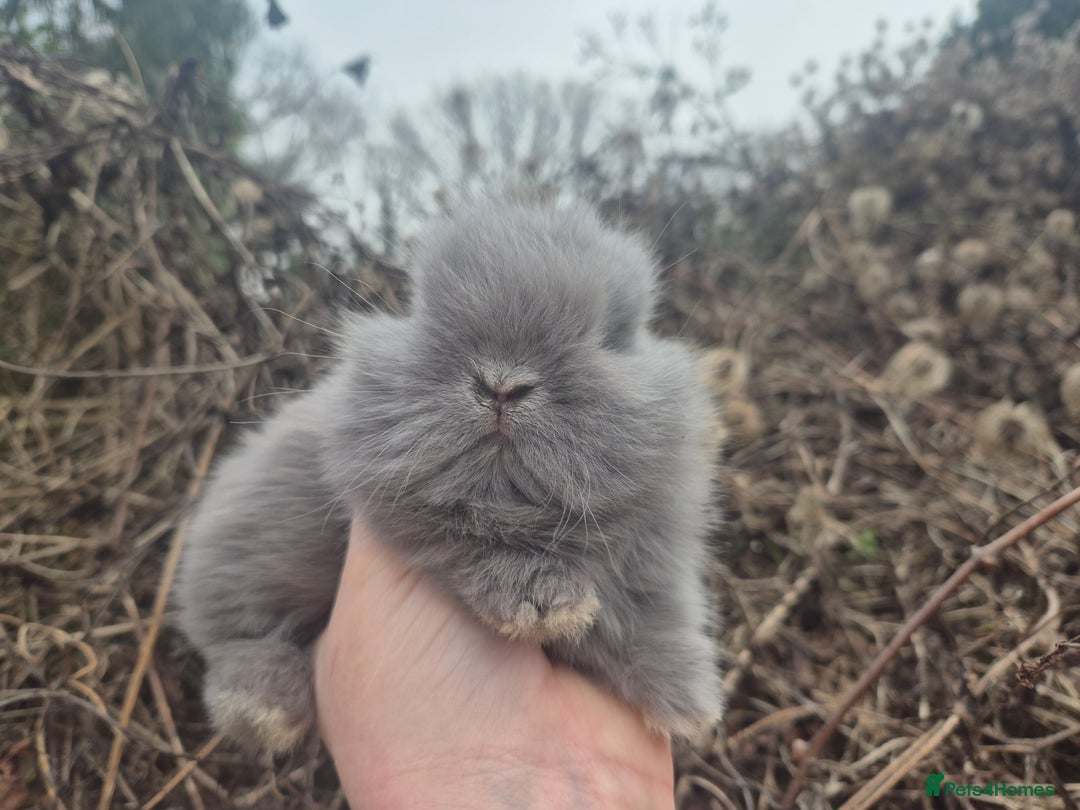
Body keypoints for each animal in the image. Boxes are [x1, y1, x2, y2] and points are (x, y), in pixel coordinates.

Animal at [176, 194, 723, 754]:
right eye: (424, 309)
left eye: (612, 336)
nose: (501, 385)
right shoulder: (410, 518)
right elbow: (465, 546)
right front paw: (546, 604)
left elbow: (650, 621)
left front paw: (687, 704)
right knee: (241, 642)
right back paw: (261, 712)